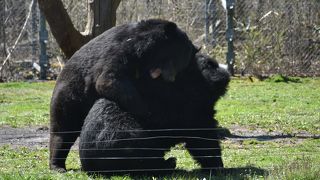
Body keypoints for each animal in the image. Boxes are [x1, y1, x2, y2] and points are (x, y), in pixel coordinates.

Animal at [49, 19, 198, 172]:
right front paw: (148, 113)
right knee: (62, 133)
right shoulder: (123, 49)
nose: (170, 78)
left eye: (180, 66)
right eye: (175, 58)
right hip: (69, 98)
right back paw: (57, 166)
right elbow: (108, 80)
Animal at [79, 53, 230, 174]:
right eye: (211, 64)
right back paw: (169, 163)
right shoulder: (192, 111)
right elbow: (203, 139)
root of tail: (89, 166)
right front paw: (217, 167)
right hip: (126, 136)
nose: (227, 71)